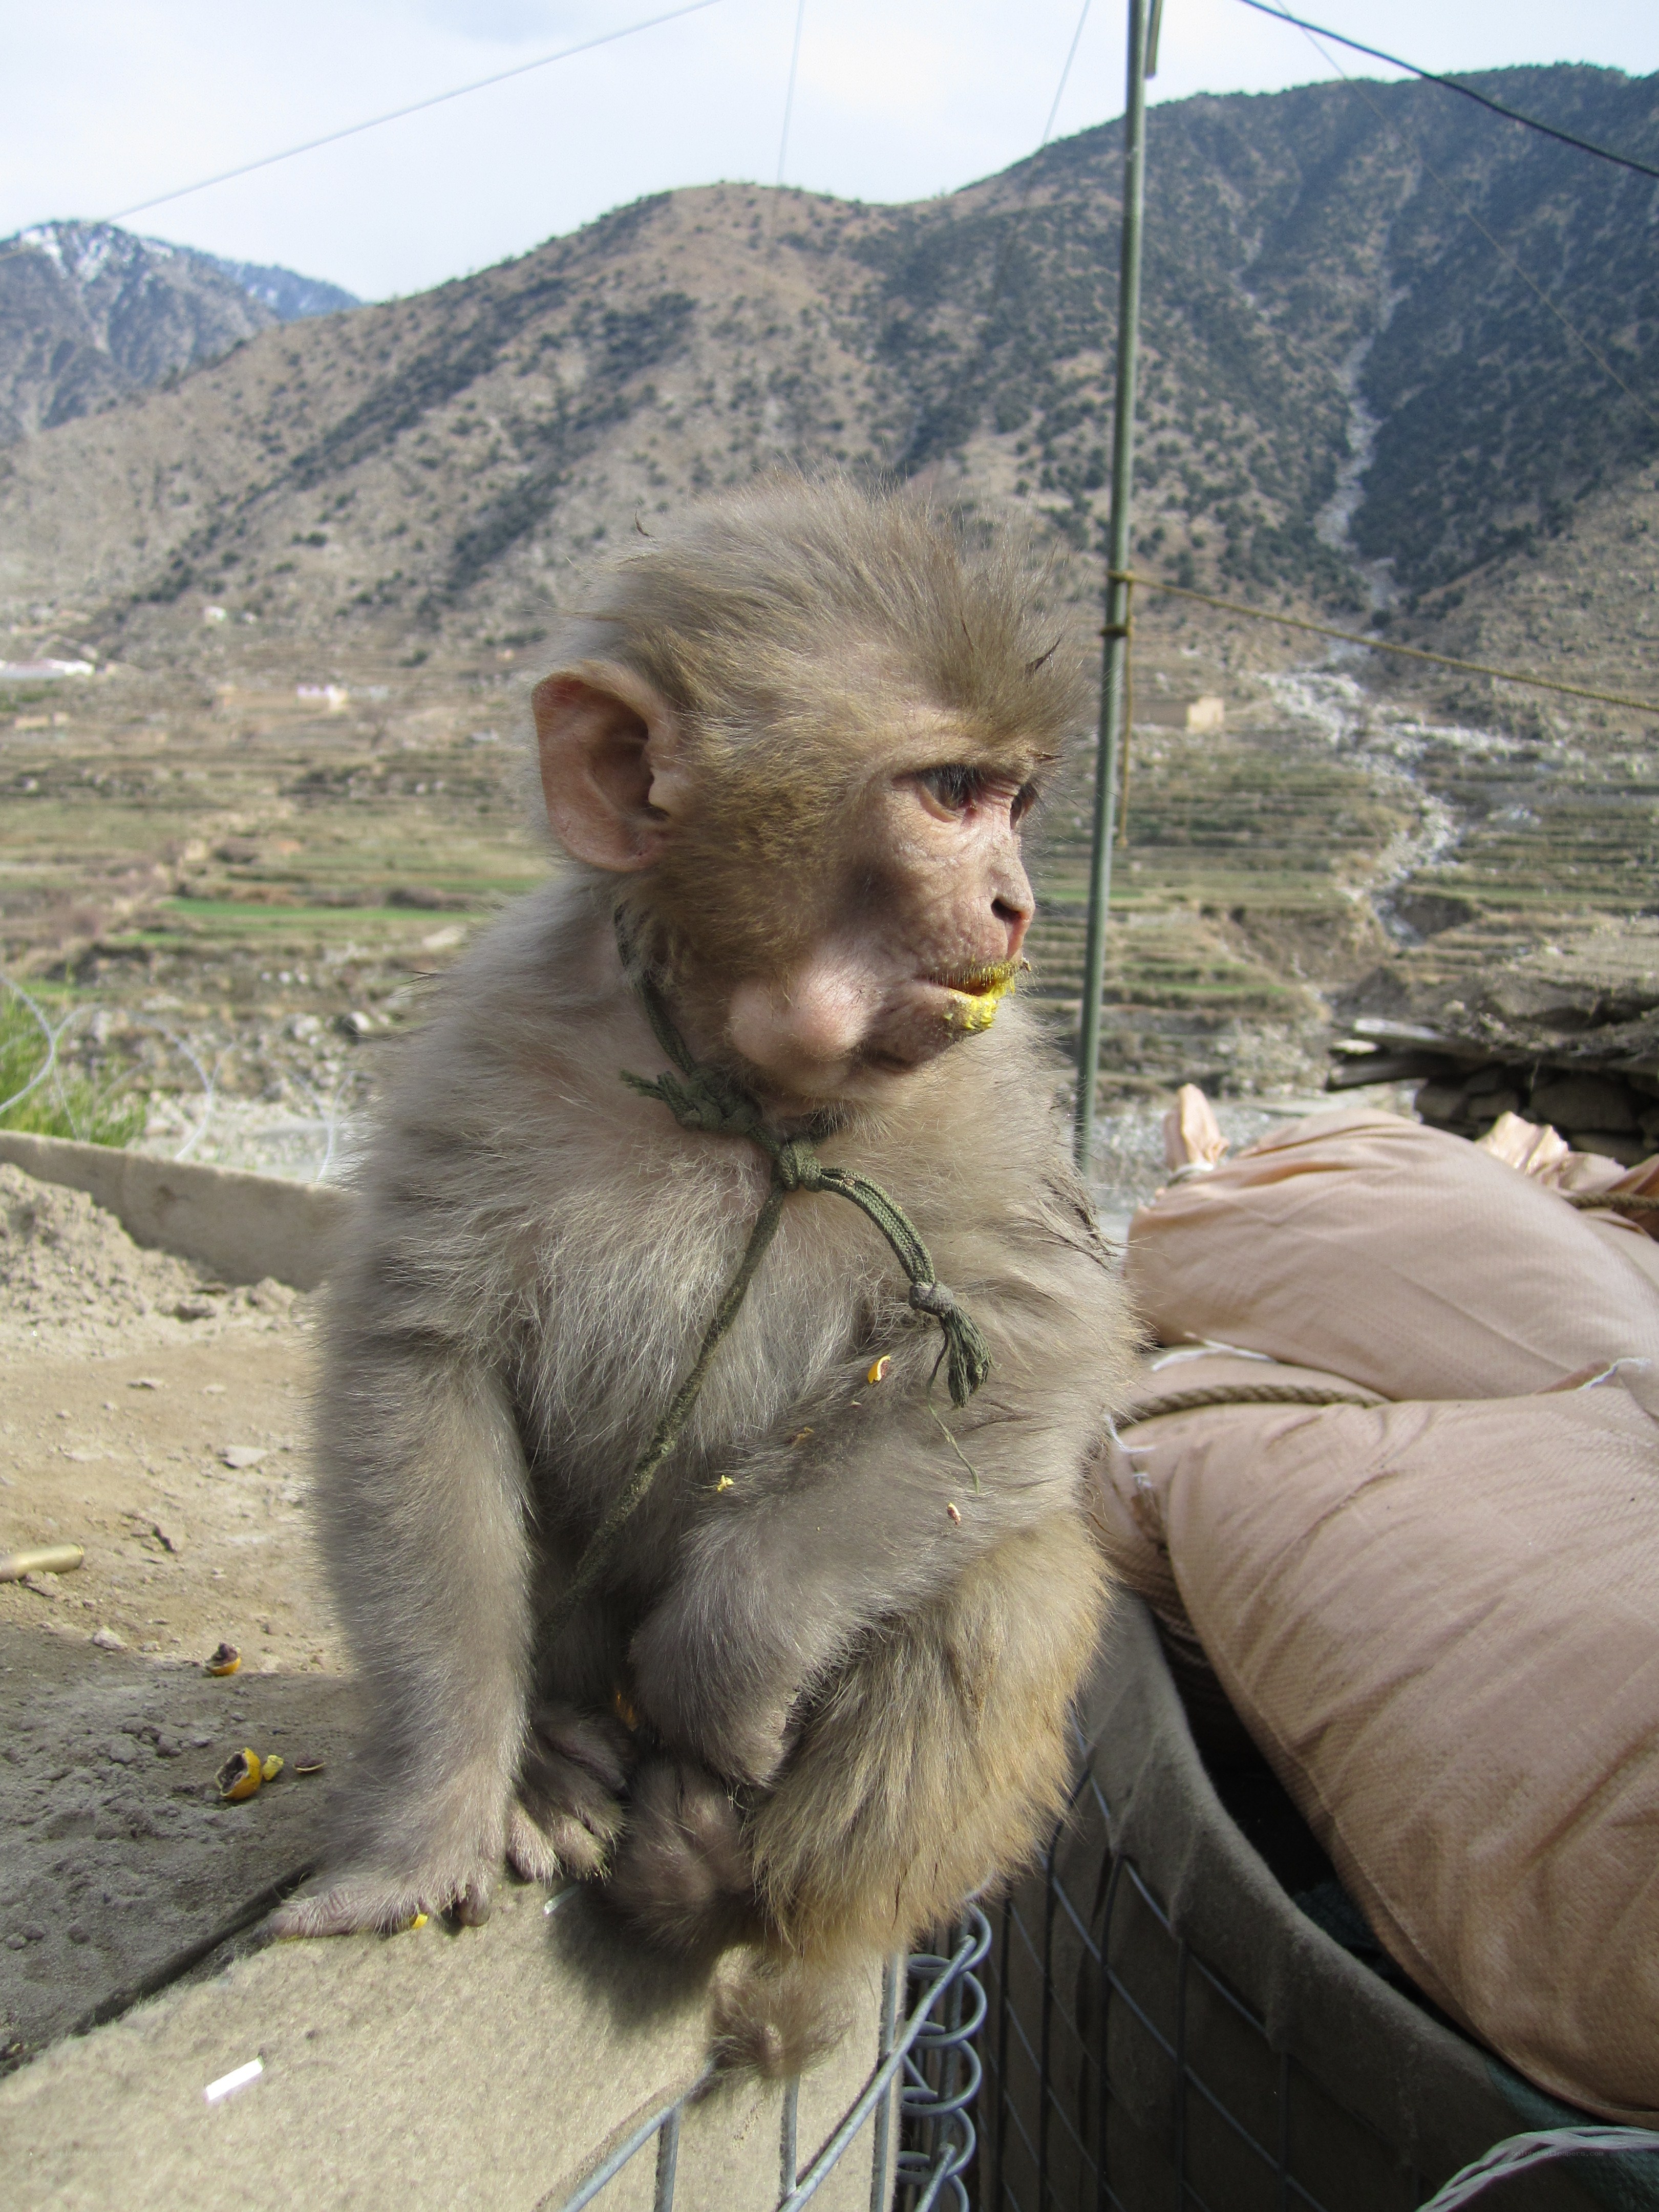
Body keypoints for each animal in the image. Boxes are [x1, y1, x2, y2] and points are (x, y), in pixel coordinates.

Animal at [271, 476, 1136, 2071]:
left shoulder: (991, 1084)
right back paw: (557, 1768)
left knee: (1013, 1579)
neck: (743, 1077)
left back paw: (748, 1908)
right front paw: (431, 1820)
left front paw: (731, 1655)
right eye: (947, 794)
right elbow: (420, 1376)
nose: (1015, 904)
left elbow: (1026, 1353)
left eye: (1014, 800)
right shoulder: (499, 1036)